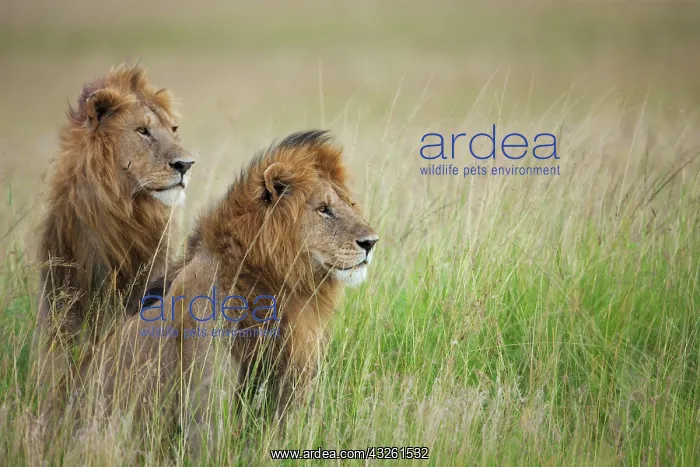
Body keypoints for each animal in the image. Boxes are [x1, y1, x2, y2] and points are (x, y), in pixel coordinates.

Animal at [51, 130, 378, 458]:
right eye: (323, 209)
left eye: (351, 205)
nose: (371, 242)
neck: (278, 286)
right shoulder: (206, 388)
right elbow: (208, 440)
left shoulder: (291, 377)